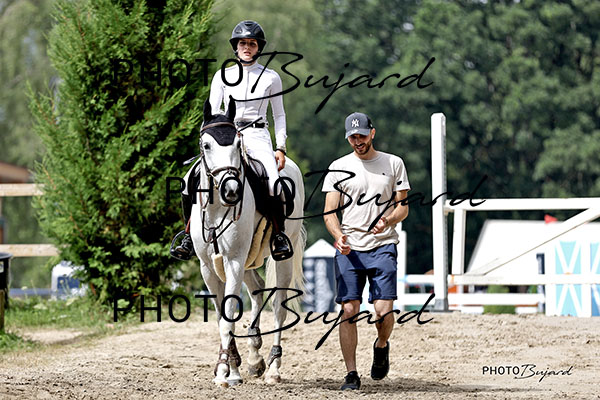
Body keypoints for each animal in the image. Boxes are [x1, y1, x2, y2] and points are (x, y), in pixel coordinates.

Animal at [189, 98, 306, 387]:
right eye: (206, 145)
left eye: (235, 145)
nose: (231, 191)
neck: (217, 207)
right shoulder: (208, 267)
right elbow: (221, 316)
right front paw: (233, 367)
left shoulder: (233, 261)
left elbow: (228, 314)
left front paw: (224, 371)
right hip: (249, 261)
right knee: (257, 290)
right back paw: (255, 358)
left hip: (279, 257)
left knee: (278, 307)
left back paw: (273, 369)